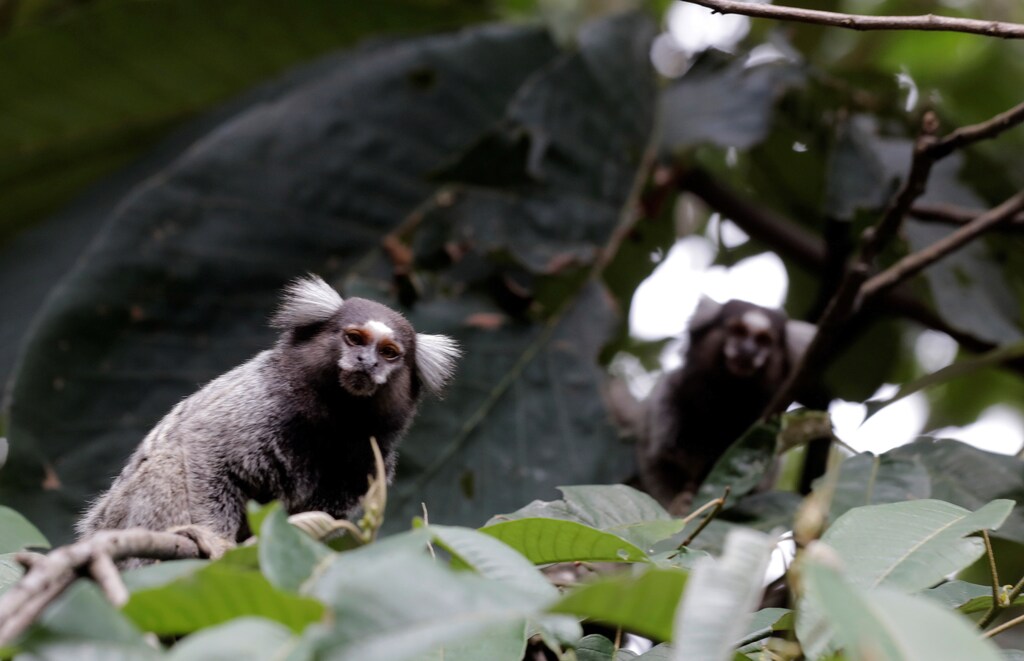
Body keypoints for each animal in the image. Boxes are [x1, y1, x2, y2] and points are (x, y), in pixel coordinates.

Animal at [76, 275, 460, 561]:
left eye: (389, 353)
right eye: (354, 338)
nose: (368, 362)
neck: (336, 418)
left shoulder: (369, 455)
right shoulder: (260, 403)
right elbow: (203, 447)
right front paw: (216, 540)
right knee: (166, 463)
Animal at [634, 297, 815, 514]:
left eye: (764, 340)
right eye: (738, 331)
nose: (747, 350)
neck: (726, 399)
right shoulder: (668, 401)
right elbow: (662, 457)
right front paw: (679, 503)